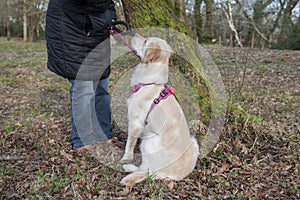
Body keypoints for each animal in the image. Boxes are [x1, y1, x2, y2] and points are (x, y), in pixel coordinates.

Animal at [119, 34, 199, 188]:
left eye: (145, 41)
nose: (133, 34)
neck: (150, 83)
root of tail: (170, 175)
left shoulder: (136, 122)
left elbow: (129, 144)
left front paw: (126, 158)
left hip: (149, 141)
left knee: (146, 169)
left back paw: (129, 167)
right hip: (194, 142)